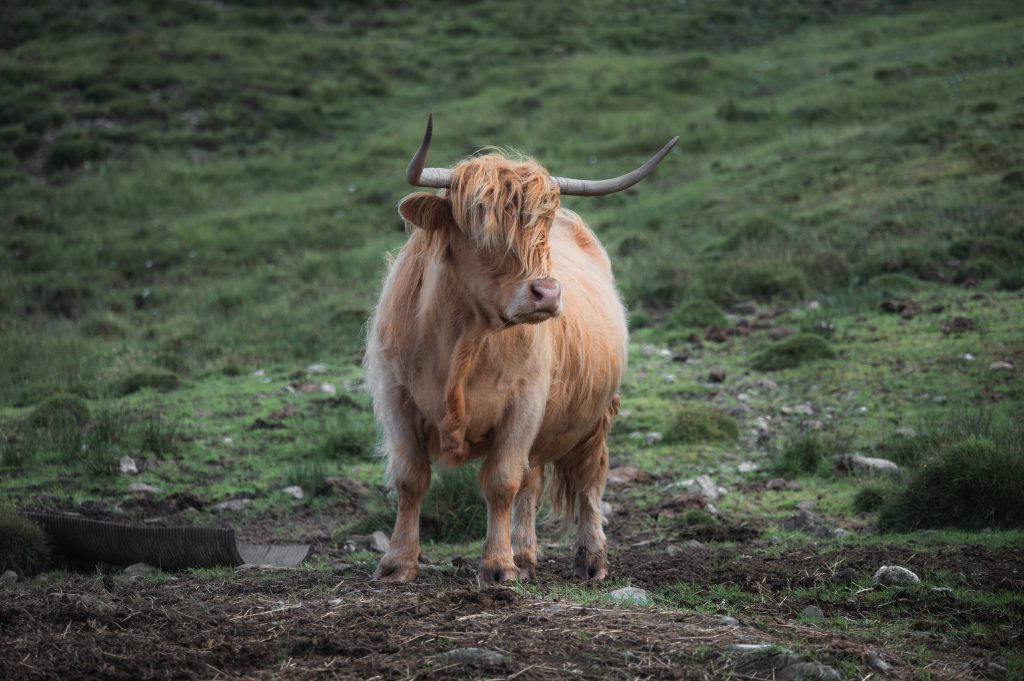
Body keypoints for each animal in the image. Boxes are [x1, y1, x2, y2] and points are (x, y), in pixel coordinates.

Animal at [364, 116, 675, 585]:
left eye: (541, 225)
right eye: (480, 220)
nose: (547, 293)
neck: (460, 342)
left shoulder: (524, 402)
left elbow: (501, 482)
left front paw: (497, 566)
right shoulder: (395, 396)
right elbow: (410, 478)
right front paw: (398, 563)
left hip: (598, 416)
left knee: (588, 481)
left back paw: (591, 559)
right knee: (533, 480)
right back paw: (526, 554)